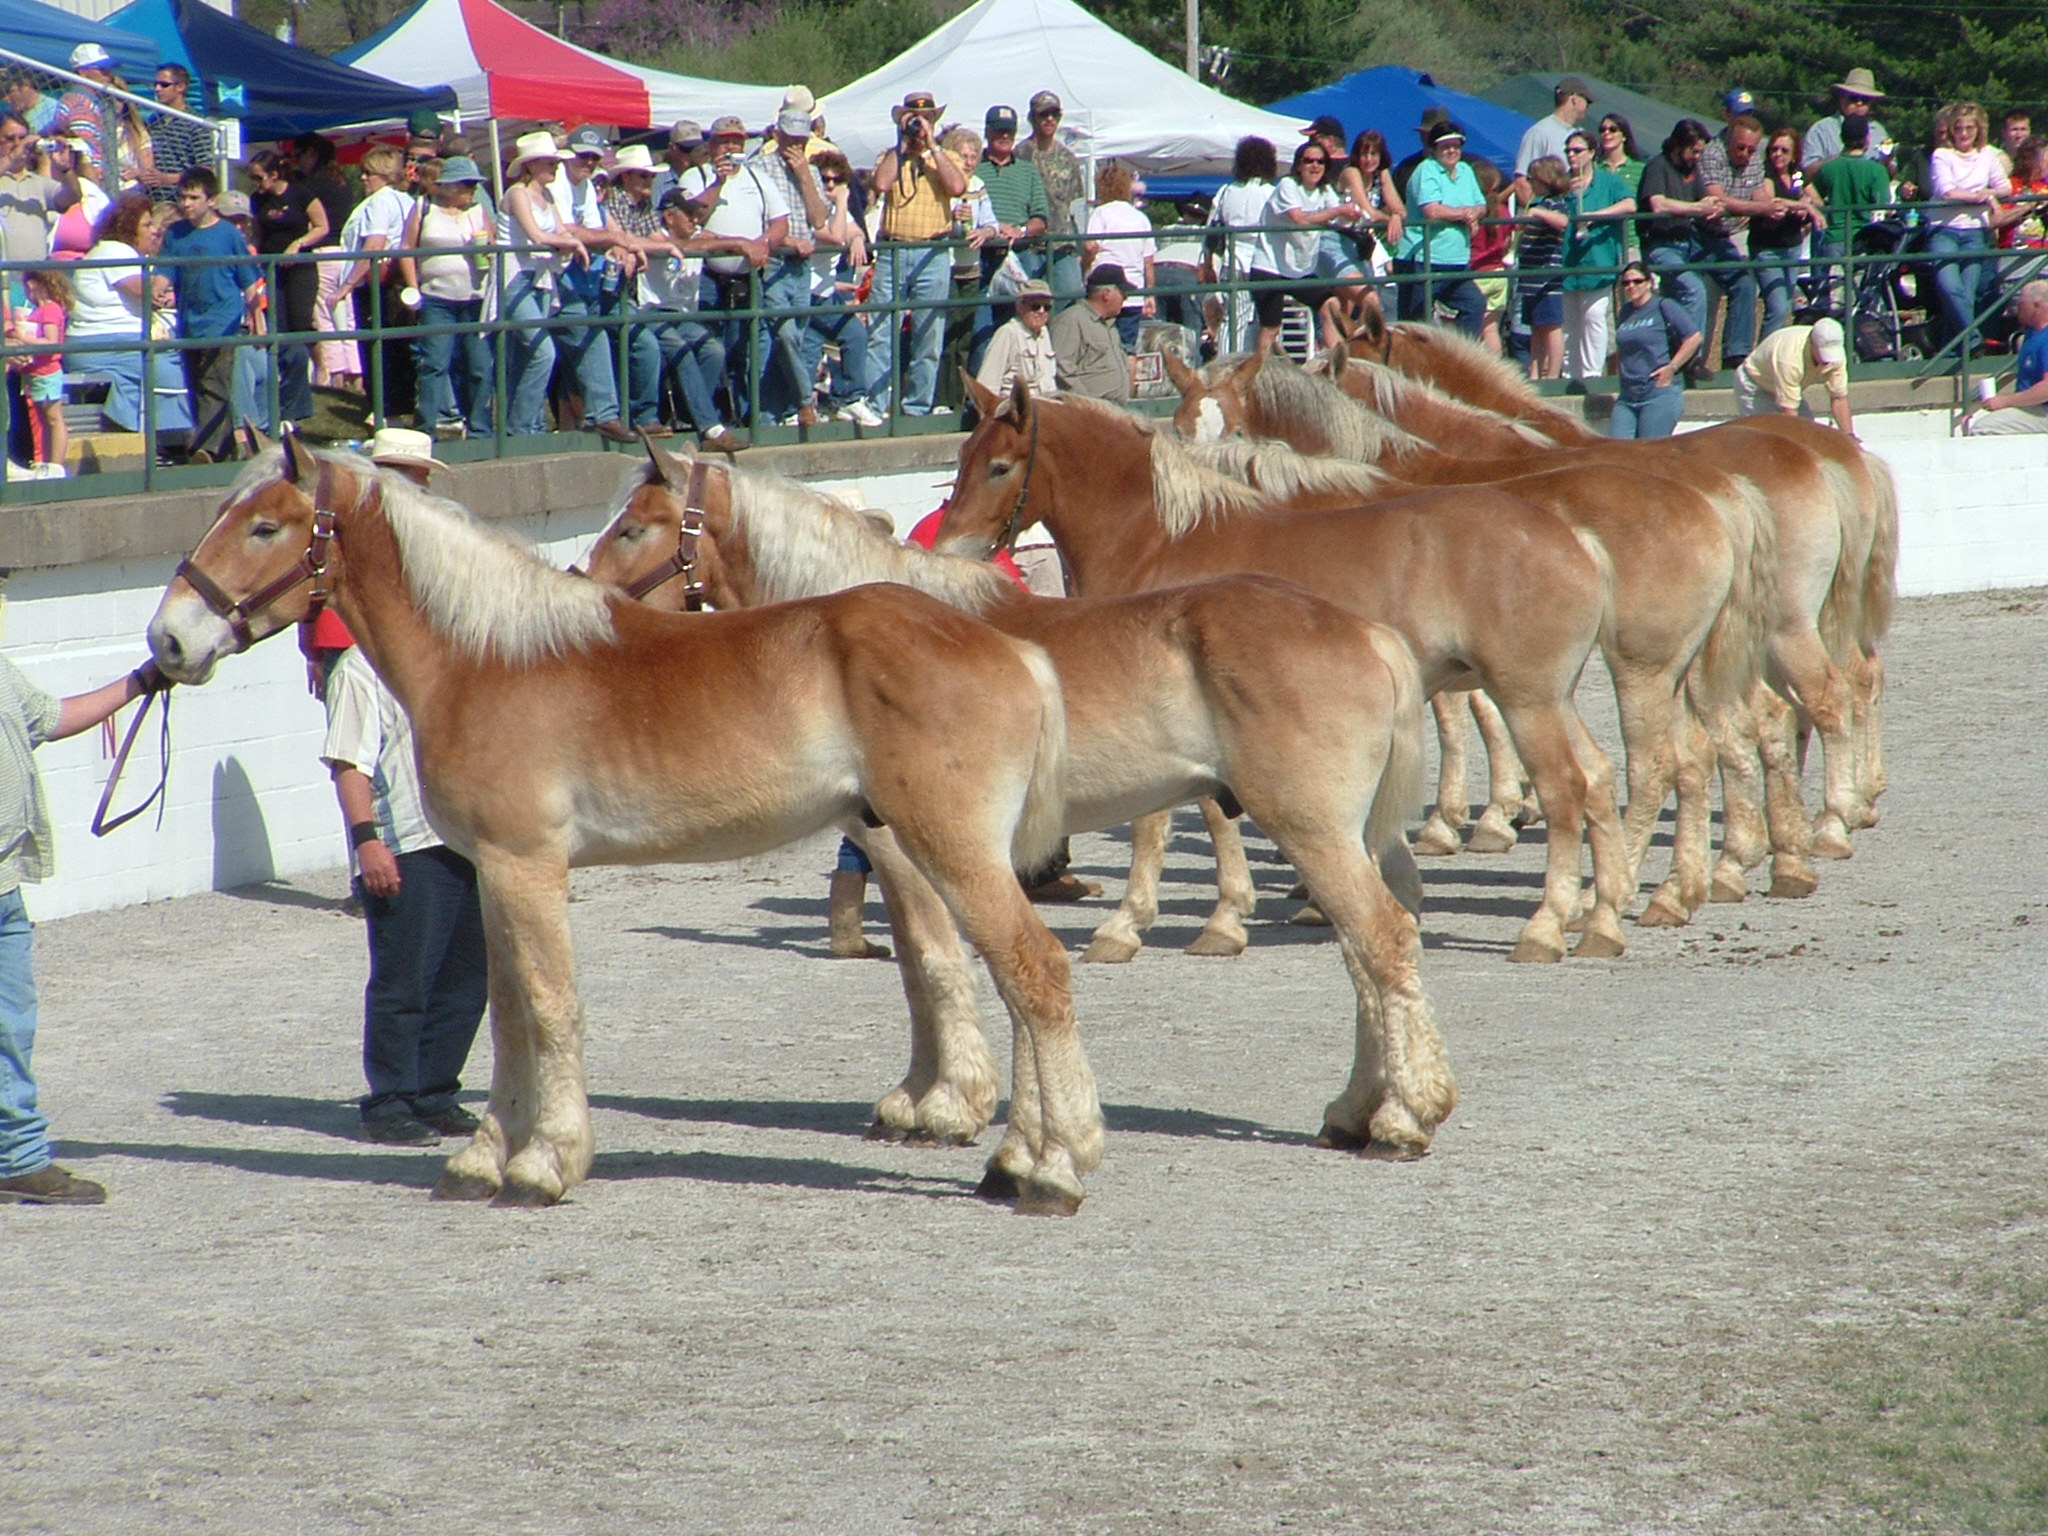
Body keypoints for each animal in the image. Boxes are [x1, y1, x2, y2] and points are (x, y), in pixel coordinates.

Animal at [142, 442, 1105, 1212]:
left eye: (266, 527)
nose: (169, 641)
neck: (484, 657)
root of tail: (1011, 647)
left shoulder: (528, 866)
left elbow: (550, 1007)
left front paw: (546, 1163)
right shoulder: (492, 871)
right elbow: (506, 1015)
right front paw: (485, 1157)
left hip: (951, 849)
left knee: (1036, 973)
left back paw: (1055, 1167)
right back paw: (1022, 1159)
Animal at [577, 442, 1458, 1155]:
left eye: (634, 530)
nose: (583, 601)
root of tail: (1364, 632)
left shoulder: (910, 848)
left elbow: (935, 963)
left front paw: (943, 1106)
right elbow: (918, 968)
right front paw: (923, 1098)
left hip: (1311, 830)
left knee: (1381, 941)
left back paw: (1403, 1116)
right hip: (1338, 835)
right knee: (1369, 950)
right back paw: (1357, 1109)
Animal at [937, 376, 1630, 966]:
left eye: (1000, 467)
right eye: (962, 457)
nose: (949, 550)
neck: (1162, 536)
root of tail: (1572, 535)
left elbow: (1169, 821)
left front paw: (1155, 924)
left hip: (1527, 701)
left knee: (1565, 789)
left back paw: (1545, 926)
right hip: (1555, 700)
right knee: (1597, 778)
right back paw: (1602, 918)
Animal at [1171, 348, 1777, 925]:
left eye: (1236, 426)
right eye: (1178, 426)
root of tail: (1715, 494)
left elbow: (1457, 725)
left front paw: (1466, 823)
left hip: (1644, 669)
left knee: (1660, 766)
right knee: (1711, 750)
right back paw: (1698, 881)